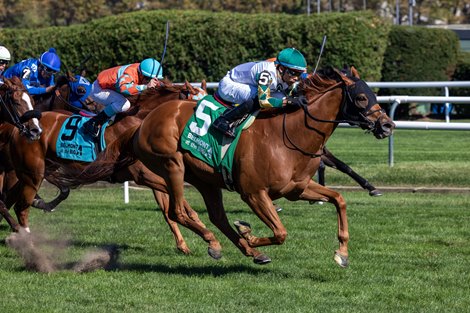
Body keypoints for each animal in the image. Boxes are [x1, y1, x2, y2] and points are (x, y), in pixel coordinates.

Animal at [124, 65, 392, 266]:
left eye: (374, 95)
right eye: (361, 97)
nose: (388, 125)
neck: (288, 136)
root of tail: (145, 121)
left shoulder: (297, 189)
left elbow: (339, 199)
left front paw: (342, 253)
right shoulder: (254, 193)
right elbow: (280, 232)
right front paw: (249, 234)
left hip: (205, 178)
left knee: (217, 216)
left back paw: (240, 249)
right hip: (172, 166)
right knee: (177, 211)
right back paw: (223, 243)